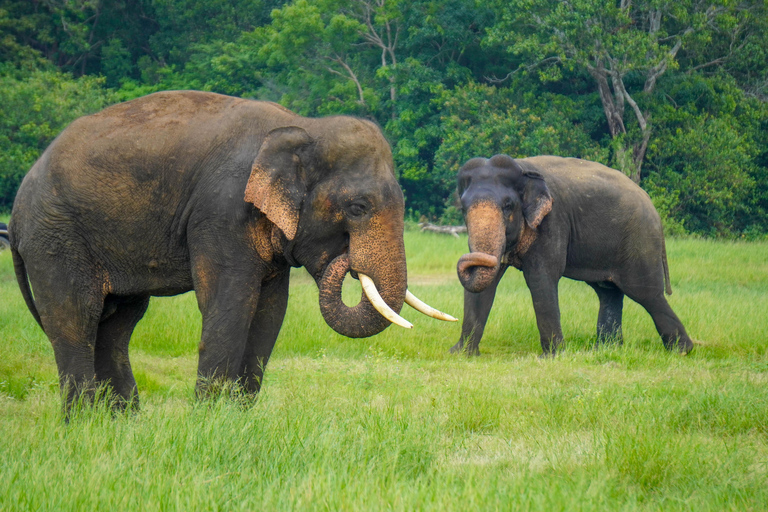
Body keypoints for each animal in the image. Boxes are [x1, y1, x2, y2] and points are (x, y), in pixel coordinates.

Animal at [10, 90, 454, 411]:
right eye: (358, 208)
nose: (345, 259)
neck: (302, 126)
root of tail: (15, 212)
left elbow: (270, 312)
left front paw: (239, 417)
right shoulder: (222, 212)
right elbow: (230, 302)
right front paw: (209, 420)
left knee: (117, 323)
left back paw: (121, 422)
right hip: (55, 237)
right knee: (76, 319)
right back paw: (85, 422)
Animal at [451, 154, 694, 357]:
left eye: (508, 206)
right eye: (463, 208)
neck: (522, 168)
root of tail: (651, 204)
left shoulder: (553, 222)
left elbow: (541, 278)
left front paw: (552, 357)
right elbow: (484, 286)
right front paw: (462, 354)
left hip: (640, 240)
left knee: (646, 293)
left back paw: (681, 351)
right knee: (609, 292)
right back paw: (606, 349)